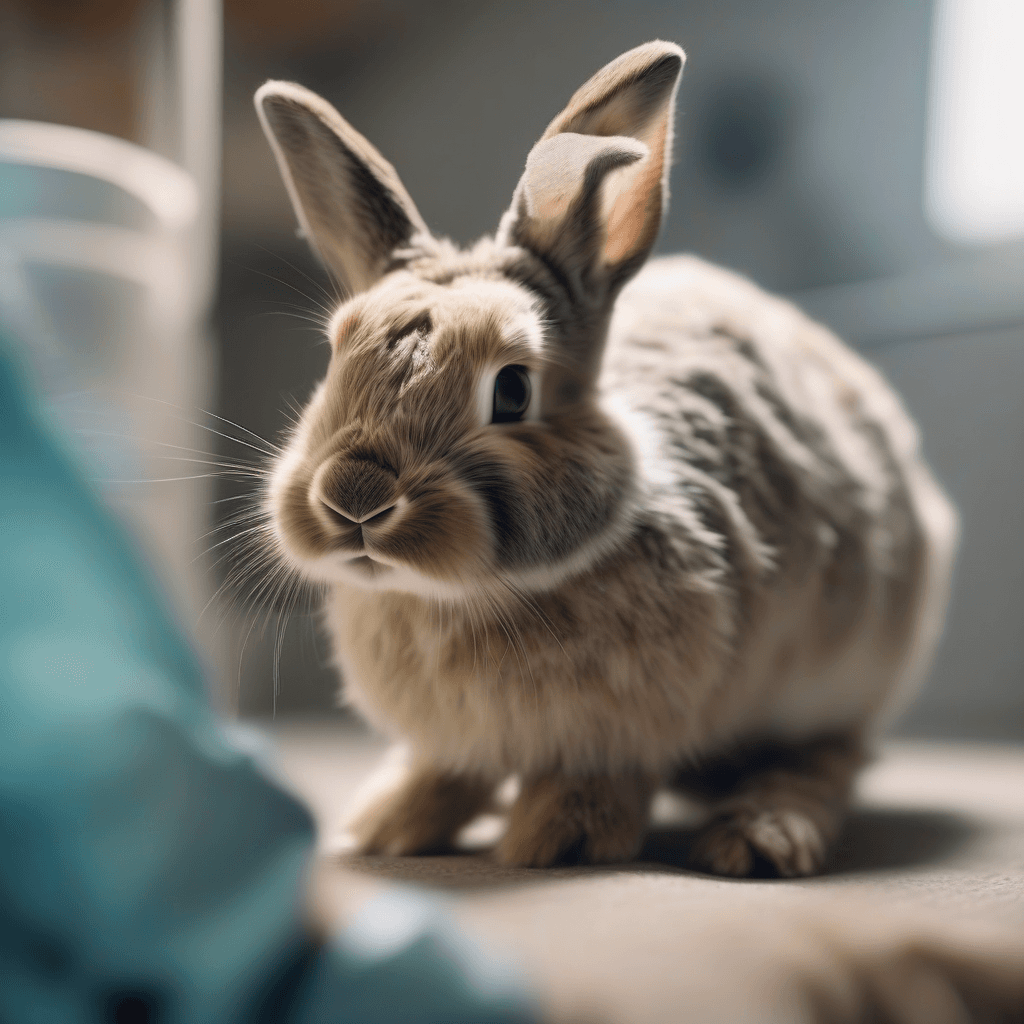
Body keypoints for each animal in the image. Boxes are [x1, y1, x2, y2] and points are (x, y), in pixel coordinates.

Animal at [253, 40, 958, 875]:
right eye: (335, 357)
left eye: (513, 390)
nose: (353, 495)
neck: (462, 596)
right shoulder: (456, 742)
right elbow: (446, 770)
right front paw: (391, 826)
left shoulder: (620, 738)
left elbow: (595, 781)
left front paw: (558, 841)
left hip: (839, 675)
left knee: (825, 760)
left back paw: (761, 838)